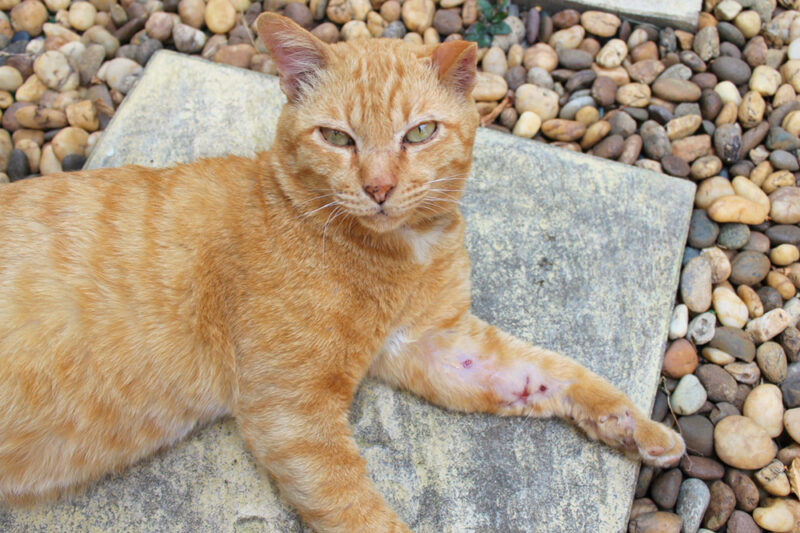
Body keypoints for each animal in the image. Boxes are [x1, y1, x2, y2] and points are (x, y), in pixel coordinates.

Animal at [0, 12, 680, 532]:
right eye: (337, 138)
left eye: (420, 132)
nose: (378, 188)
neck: (403, 250)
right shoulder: (292, 412)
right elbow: (359, 510)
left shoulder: (437, 345)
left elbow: (551, 372)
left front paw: (632, 425)